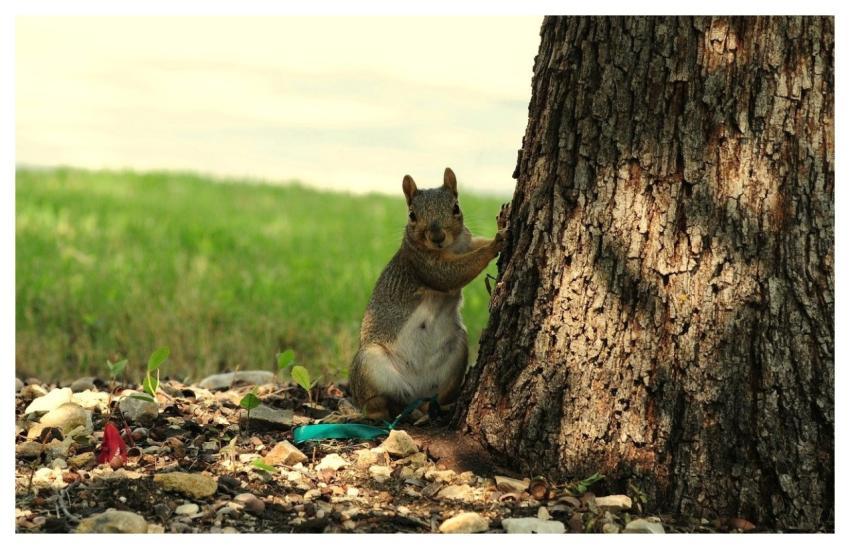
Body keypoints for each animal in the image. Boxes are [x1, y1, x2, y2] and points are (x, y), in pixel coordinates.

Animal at [348, 167, 506, 420]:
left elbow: (473, 246)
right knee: (375, 402)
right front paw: (495, 244)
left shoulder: (464, 243)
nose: (437, 236)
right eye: (412, 215)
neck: (449, 247)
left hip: (457, 351)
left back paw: (436, 409)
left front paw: (495, 234)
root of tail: (413, 394)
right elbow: (451, 273)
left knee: (433, 399)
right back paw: (380, 411)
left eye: (456, 207)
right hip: (368, 363)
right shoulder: (422, 264)